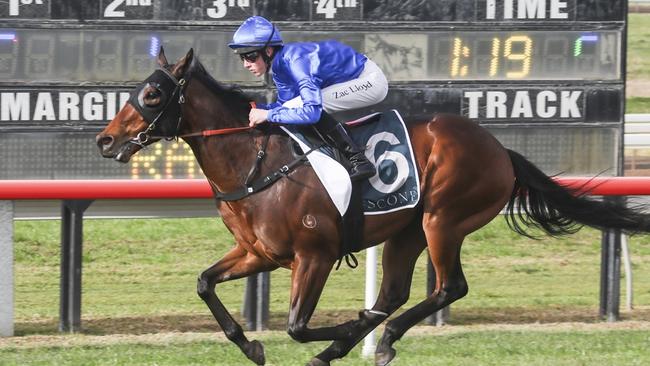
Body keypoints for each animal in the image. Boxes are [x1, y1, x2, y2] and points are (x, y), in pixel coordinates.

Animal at [95, 48, 648, 366]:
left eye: (152, 93)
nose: (105, 141)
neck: (253, 162)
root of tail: (499, 149)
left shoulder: (314, 255)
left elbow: (297, 325)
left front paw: (341, 328)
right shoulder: (259, 253)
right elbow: (205, 283)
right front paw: (252, 344)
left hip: (443, 220)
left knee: (448, 287)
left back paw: (370, 340)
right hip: (408, 231)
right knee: (396, 292)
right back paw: (360, 341)